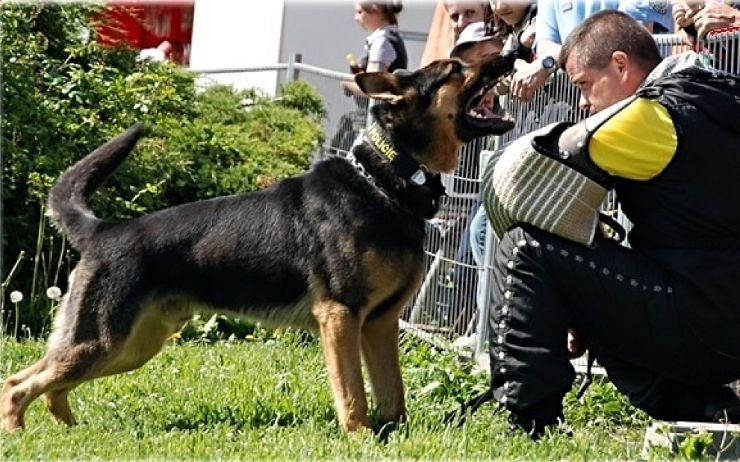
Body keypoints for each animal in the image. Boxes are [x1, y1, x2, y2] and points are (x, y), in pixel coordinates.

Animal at [1, 54, 516, 434]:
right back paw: (21, 435)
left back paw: (71, 430)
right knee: (17, 384)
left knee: (51, 386)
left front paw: (394, 436)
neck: (387, 179)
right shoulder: (341, 317)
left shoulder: (379, 324)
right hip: (104, 341)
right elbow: (352, 392)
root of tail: (103, 230)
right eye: (455, 68)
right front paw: (361, 438)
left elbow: (393, 393)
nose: (511, 53)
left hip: (128, 347)